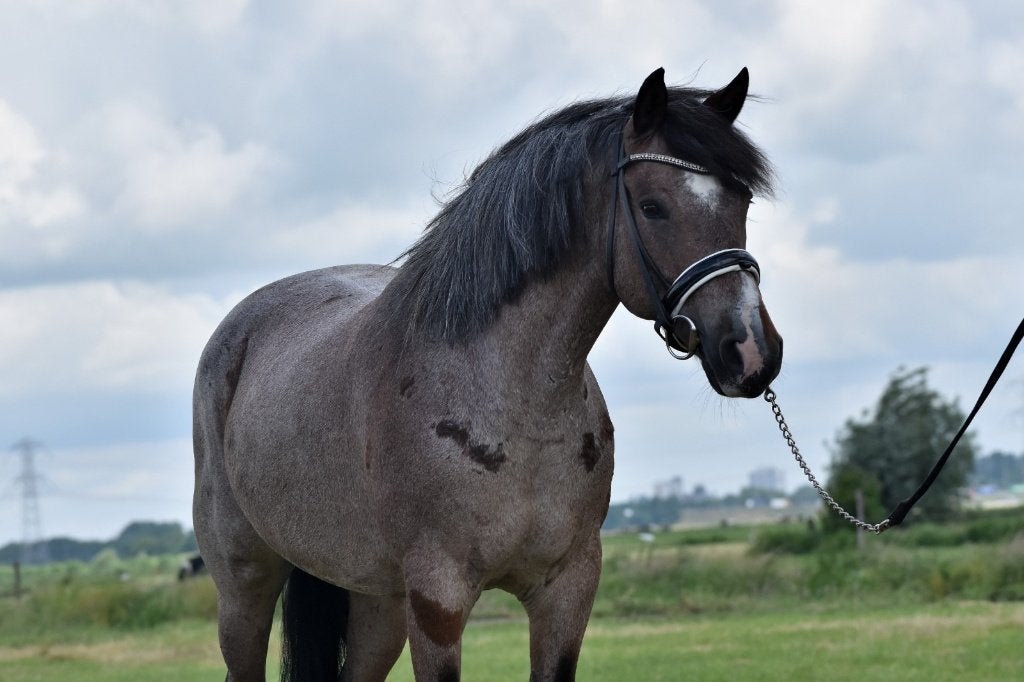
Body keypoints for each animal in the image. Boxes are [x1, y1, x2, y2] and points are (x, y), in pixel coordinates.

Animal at [193, 66, 782, 681]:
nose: (750, 352)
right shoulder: (439, 599)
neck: (516, 410)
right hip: (245, 587)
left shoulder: (566, 591)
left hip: (377, 601)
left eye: (741, 200)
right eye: (651, 206)